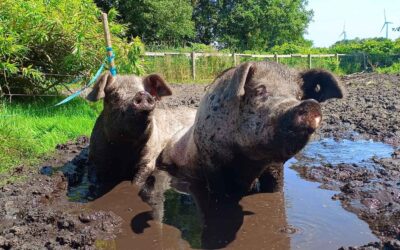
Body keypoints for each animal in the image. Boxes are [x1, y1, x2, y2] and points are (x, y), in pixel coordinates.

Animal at [158, 61, 346, 195]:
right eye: (259, 90)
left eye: (299, 95)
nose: (311, 104)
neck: (250, 160)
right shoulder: (210, 159)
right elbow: (219, 192)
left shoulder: (275, 166)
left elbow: (275, 188)